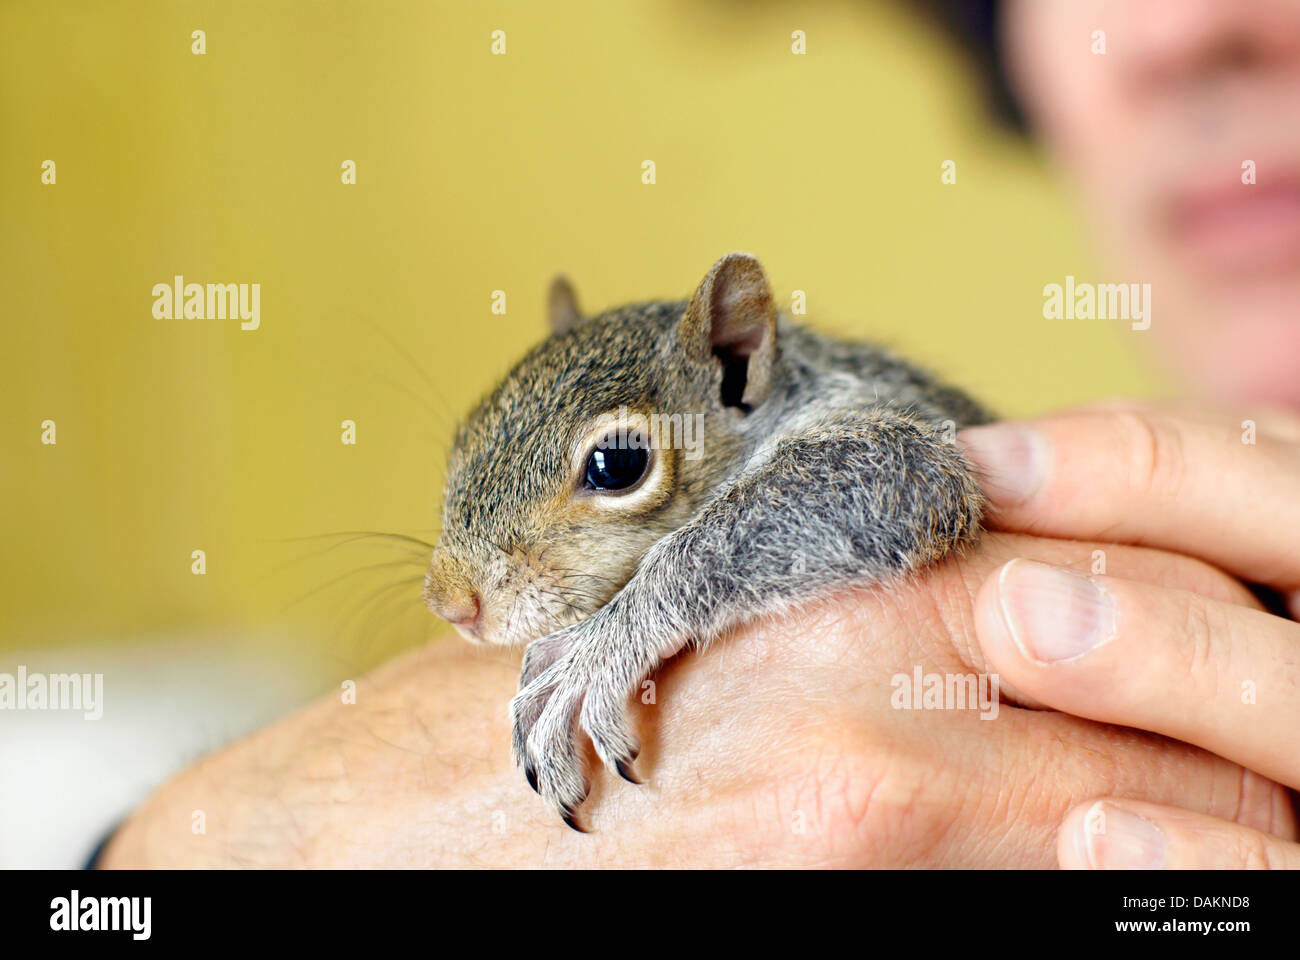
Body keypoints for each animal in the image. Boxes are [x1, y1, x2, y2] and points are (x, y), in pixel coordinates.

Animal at [421, 251, 987, 827]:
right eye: (465, 437)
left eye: (617, 463)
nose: (451, 604)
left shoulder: (891, 453)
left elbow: (899, 470)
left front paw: (594, 651)